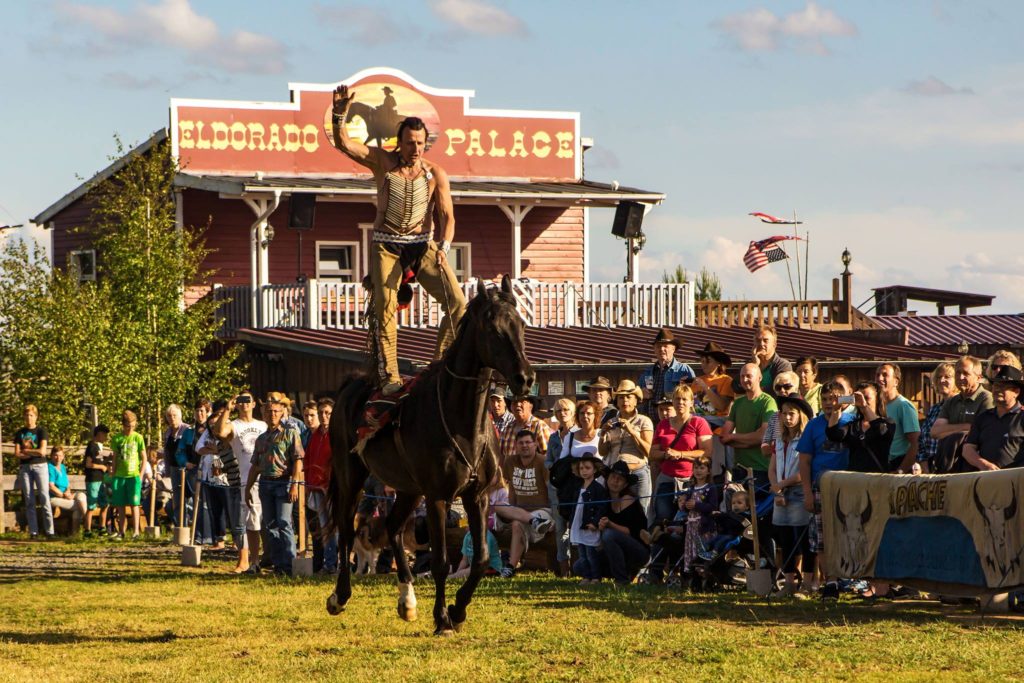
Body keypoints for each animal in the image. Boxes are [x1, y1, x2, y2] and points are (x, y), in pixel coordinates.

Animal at [325, 276, 536, 634]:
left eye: (521, 325)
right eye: (492, 328)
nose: (525, 378)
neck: (461, 421)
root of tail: (352, 386)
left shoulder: (476, 496)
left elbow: (480, 558)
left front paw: (458, 609)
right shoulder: (438, 497)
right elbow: (439, 562)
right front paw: (442, 618)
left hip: (408, 490)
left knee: (393, 527)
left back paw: (407, 601)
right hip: (351, 476)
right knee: (346, 530)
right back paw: (339, 596)